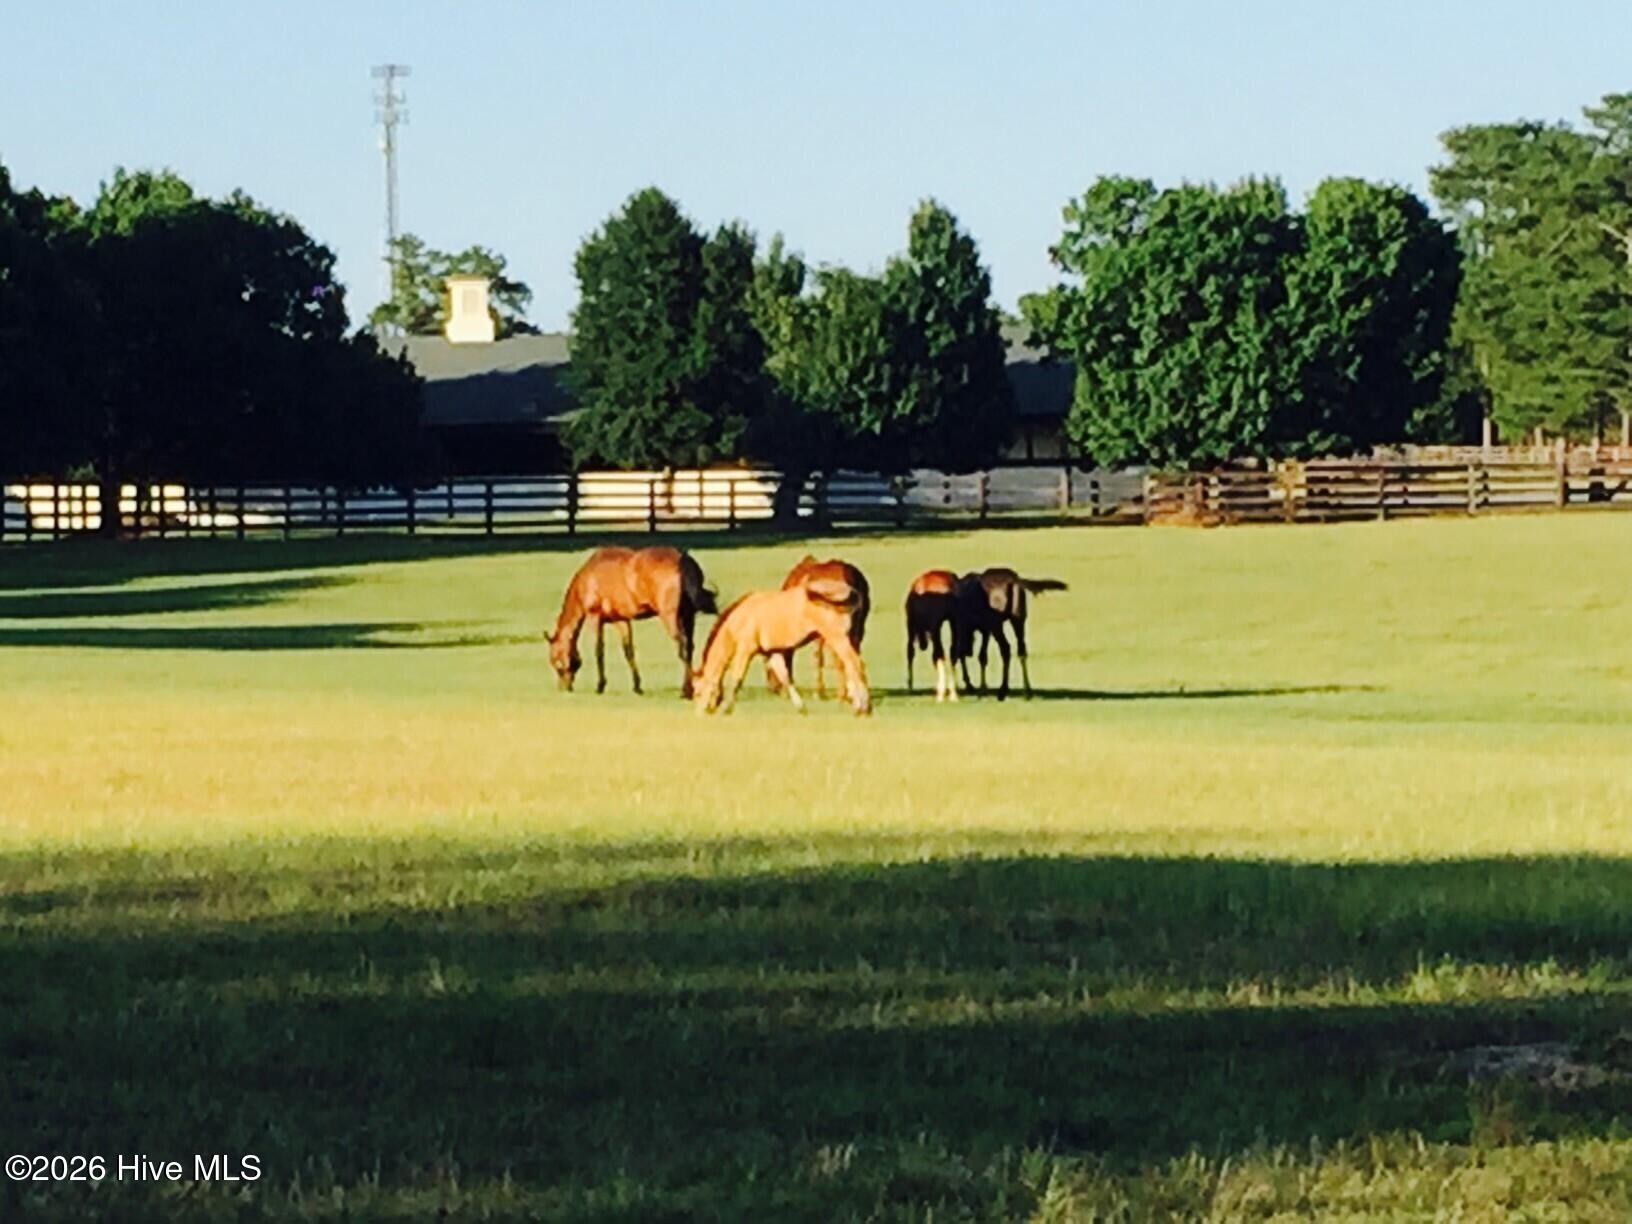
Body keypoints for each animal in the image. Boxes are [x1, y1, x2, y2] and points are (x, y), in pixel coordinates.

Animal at [547, 546, 717, 698]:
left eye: (555, 661)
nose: (564, 688)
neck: (588, 576)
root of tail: (682, 559)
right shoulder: (621, 620)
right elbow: (628, 651)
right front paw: (637, 686)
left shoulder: (594, 617)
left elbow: (599, 650)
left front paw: (600, 685)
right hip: (688, 617)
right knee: (690, 647)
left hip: (670, 617)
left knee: (683, 648)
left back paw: (685, 691)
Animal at [697, 577, 870, 716]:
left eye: (697, 692)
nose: (700, 711)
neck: (742, 616)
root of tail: (849, 590)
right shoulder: (774, 653)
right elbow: (786, 678)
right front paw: (801, 707)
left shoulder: (745, 651)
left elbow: (737, 678)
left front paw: (726, 708)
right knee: (853, 667)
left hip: (837, 639)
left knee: (855, 664)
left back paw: (863, 707)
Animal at [765, 555, 871, 699]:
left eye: (767, 667)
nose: (772, 689)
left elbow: (818, 658)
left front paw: (819, 691)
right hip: (858, 627)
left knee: (840, 658)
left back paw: (842, 694)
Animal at [905, 569, 960, 703]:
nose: (923, 645)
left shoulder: (911, 626)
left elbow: (910, 652)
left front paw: (910, 687)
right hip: (954, 621)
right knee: (952, 652)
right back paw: (953, 694)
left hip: (936, 628)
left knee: (939, 653)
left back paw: (941, 695)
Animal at [952, 568, 1068, 700]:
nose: (969, 651)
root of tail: (1013, 580)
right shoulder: (985, 630)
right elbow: (982, 656)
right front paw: (981, 689)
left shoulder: (972, 626)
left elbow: (966, 653)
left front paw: (976, 689)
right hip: (1018, 618)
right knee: (1021, 650)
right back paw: (1026, 691)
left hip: (996, 623)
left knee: (1005, 648)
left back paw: (1003, 691)